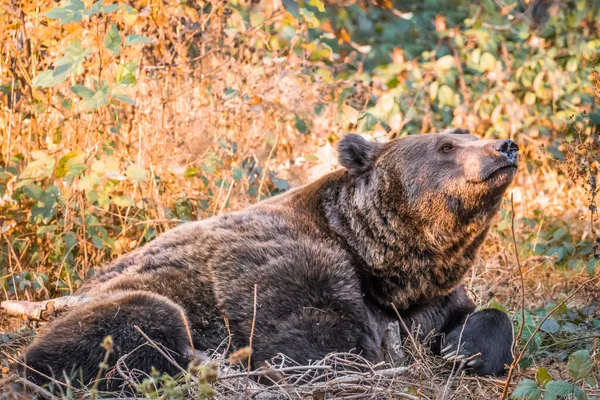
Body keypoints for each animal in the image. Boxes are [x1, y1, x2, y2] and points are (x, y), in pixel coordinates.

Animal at [17, 130, 516, 392]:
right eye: (446, 145)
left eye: (469, 132)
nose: (505, 146)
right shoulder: (280, 261)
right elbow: (306, 334)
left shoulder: (427, 297)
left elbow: (480, 317)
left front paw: (467, 351)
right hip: (112, 307)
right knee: (142, 321)